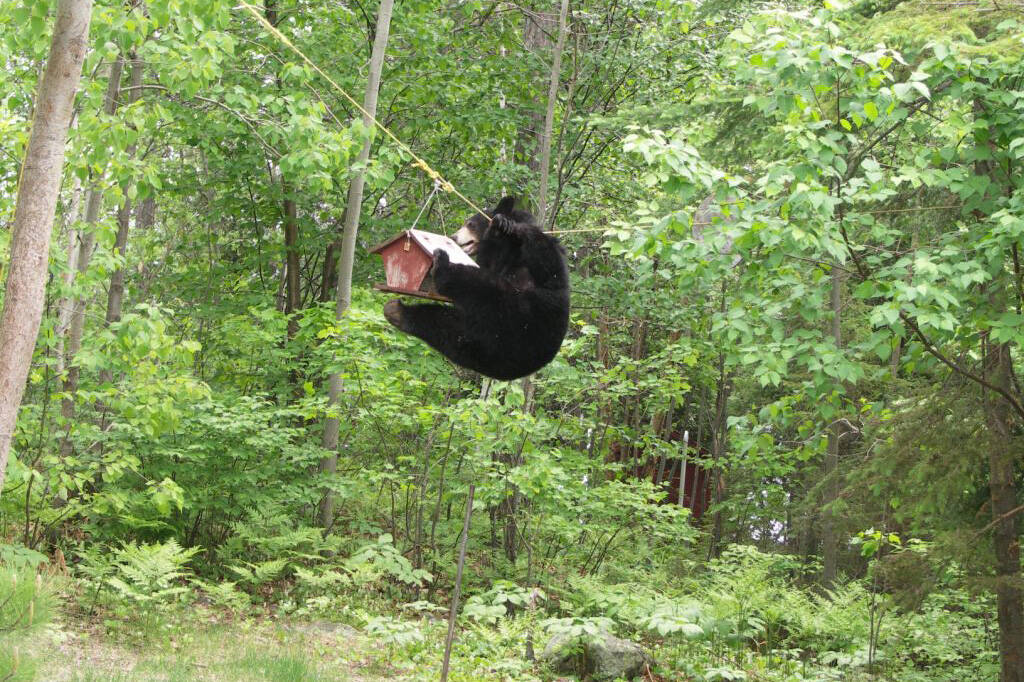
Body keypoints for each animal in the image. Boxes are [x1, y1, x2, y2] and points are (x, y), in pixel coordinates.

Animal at [385, 196, 573, 378]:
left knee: (481, 289)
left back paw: (443, 267)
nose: (453, 237)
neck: (510, 251)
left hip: (513, 321)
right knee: (443, 324)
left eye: (470, 224)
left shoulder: (538, 272)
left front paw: (502, 225)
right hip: (473, 336)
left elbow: (547, 261)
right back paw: (397, 312)